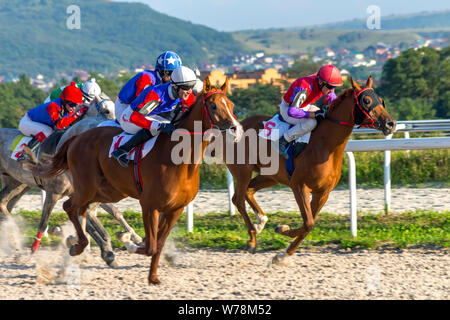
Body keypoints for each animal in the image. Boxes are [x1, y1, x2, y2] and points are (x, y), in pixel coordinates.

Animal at [0, 95, 141, 268]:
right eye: (107, 110)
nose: (119, 128)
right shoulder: (54, 193)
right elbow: (44, 223)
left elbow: (109, 214)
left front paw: (114, 247)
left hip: (17, 183)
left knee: (4, 204)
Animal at [36, 76, 243, 284]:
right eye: (213, 106)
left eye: (231, 104)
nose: (235, 129)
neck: (181, 161)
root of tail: (75, 137)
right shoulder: (149, 206)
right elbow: (150, 246)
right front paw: (128, 240)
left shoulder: (175, 209)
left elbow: (158, 244)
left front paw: (153, 277)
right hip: (87, 187)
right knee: (71, 207)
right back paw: (77, 243)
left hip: (109, 191)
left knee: (83, 210)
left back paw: (79, 243)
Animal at [223, 76, 396, 264]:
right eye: (367, 101)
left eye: (381, 100)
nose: (391, 124)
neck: (325, 146)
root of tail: (235, 129)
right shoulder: (299, 186)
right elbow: (308, 223)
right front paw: (283, 244)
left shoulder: (322, 193)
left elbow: (309, 224)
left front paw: (283, 241)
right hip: (243, 171)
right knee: (238, 199)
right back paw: (252, 239)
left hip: (270, 176)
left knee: (249, 191)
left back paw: (261, 222)